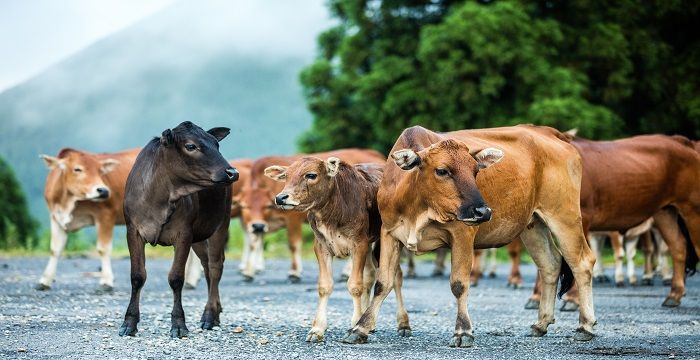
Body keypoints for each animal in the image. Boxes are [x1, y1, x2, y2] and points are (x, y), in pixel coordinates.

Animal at [37, 148, 141, 292]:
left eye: (100, 171)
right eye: (77, 169)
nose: (103, 191)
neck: (68, 201)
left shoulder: (106, 215)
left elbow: (103, 249)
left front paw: (106, 281)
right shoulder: (55, 217)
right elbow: (55, 249)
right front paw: (45, 280)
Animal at [238, 148, 386, 282]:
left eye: (311, 175)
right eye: (244, 206)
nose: (280, 198)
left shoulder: (293, 219)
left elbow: (293, 244)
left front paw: (294, 272)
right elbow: (253, 243)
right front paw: (248, 272)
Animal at [266, 159, 410, 342]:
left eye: (311, 175)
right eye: (286, 176)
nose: (281, 198)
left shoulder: (359, 244)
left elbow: (355, 285)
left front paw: (356, 324)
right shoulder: (321, 246)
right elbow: (325, 286)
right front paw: (317, 329)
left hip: (386, 242)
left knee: (396, 277)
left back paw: (403, 324)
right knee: (370, 275)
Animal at [344, 124, 596, 346]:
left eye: (476, 171)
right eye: (442, 170)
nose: (482, 211)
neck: (418, 205)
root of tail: (552, 134)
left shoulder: (462, 233)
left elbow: (459, 284)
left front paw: (463, 331)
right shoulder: (389, 234)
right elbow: (382, 283)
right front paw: (360, 328)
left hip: (564, 216)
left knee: (582, 263)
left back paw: (585, 326)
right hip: (533, 225)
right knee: (550, 264)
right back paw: (541, 323)